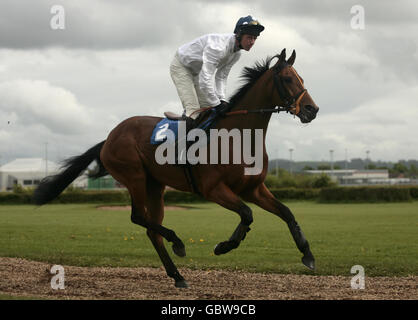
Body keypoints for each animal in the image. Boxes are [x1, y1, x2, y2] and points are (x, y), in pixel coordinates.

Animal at [33, 48, 320, 288]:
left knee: (151, 228)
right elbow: (247, 214)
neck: (237, 137)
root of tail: (109, 138)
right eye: (287, 79)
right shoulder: (213, 189)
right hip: (135, 177)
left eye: (301, 77)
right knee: (138, 217)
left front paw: (307, 255)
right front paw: (223, 246)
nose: (312, 109)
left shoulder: (253, 188)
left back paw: (177, 275)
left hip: (155, 185)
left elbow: (285, 213)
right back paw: (178, 243)